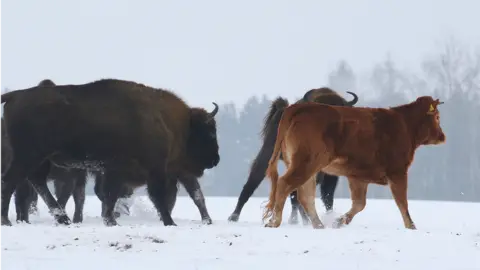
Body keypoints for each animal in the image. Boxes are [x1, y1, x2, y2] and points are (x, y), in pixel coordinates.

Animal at [0, 78, 220, 226]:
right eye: (210, 132)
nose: (215, 160)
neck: (166, 120)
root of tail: (15, 95)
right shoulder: (154, 169)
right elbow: (157, 196)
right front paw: (169, 222)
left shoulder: (116, 170)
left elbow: (110, 195)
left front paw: (111, 221)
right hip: (28, 156)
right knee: (11, 181)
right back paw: (6, 220)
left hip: (40, 159)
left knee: (35, 182)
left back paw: (63, 219)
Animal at [262, 96, 446, 229]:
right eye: (437, 117)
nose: (442, 136)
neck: (405, 125)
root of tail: (297, 108)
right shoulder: (398, 172)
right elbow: (402, 202)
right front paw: (411, 226)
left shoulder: (358, 176)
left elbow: (359, 204)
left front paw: (339, 221)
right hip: (305, 164)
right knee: (285, 184)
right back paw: (274, 221)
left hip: (308, 167)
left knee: (305, 195)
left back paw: (319, 225)